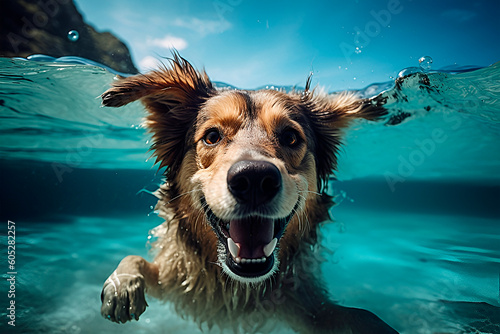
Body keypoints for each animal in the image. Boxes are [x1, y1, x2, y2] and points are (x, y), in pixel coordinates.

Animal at [100, 53, 398, 332]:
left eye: (290, 137)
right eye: (212, 136)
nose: (254, 179)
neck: (237, 285)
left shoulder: (303, 303)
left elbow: (362, 316)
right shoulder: (175, 280)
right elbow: (134, 258)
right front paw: (121, 285)